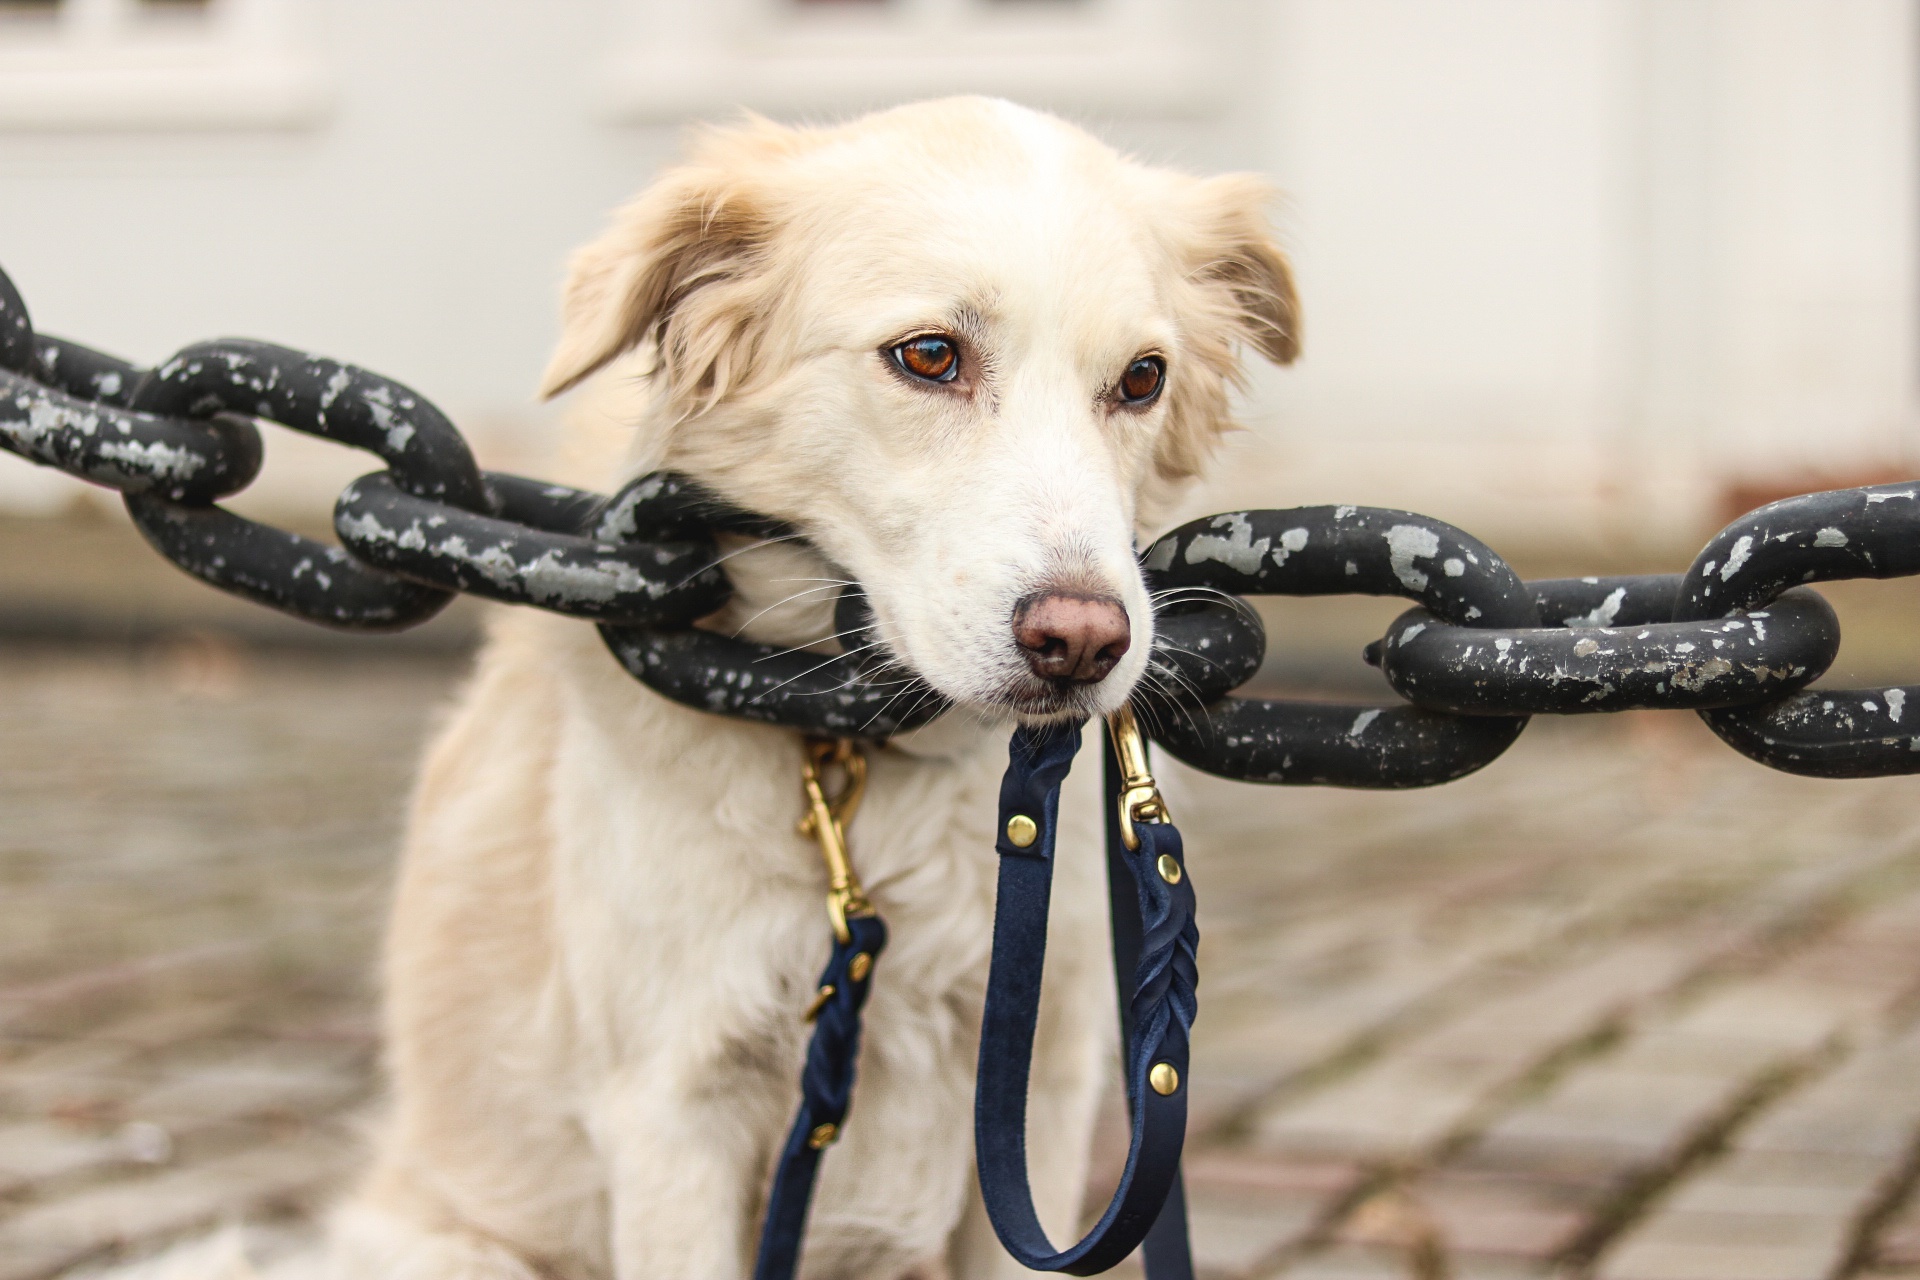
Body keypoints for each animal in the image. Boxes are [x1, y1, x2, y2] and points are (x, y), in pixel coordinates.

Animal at [161, 94, 1290, 1274]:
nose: (1085, 642)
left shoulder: (1042, 1091)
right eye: (930, 355)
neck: (863, 757)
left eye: (1141, 379)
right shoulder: (672, 1106)